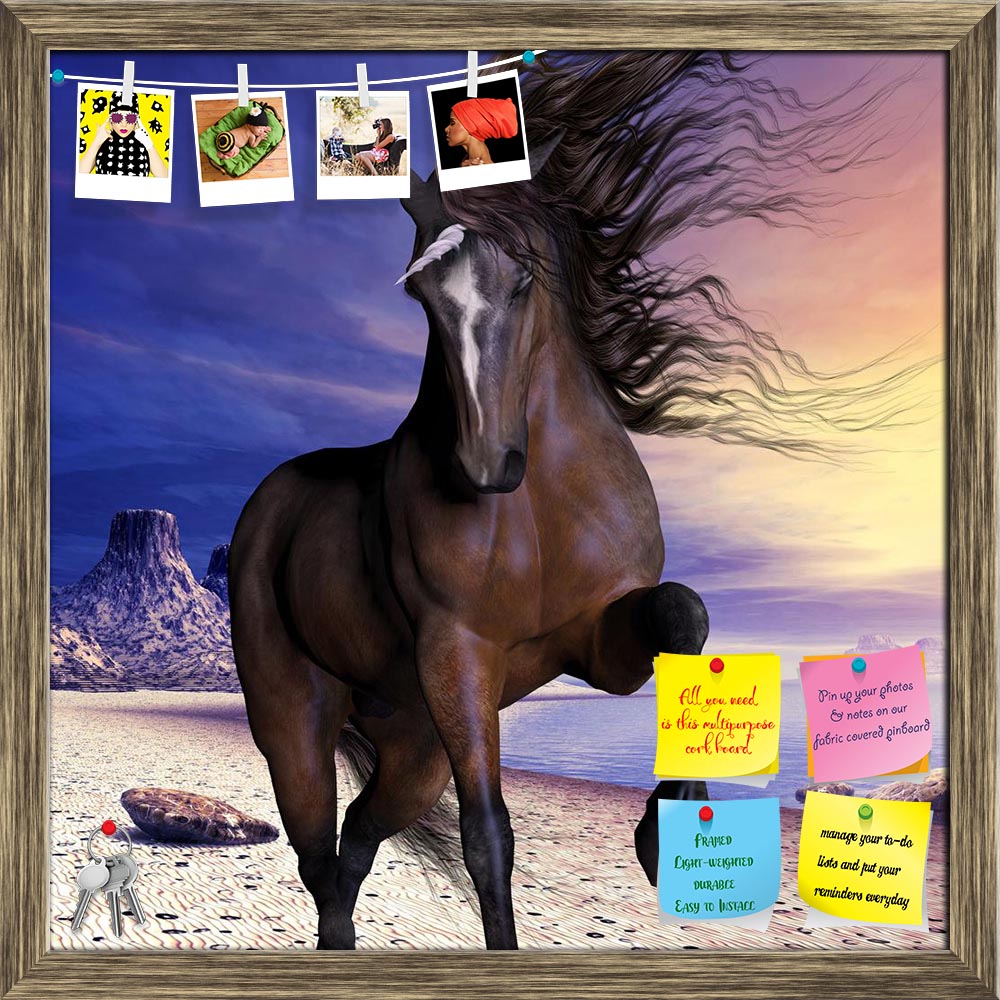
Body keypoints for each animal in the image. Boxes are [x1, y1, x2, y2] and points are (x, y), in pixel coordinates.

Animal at [229, 51, 923, 949]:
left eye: (522, 281)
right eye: (420, 294)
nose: (487, 464)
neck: (541, 511)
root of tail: (268, 503)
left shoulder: (595, 641)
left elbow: (684, 616)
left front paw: (662, 835)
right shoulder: (459, 657)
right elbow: (489, 836)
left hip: (413, 745)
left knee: (352, 849)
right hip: (298, 719)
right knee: (319, 854)